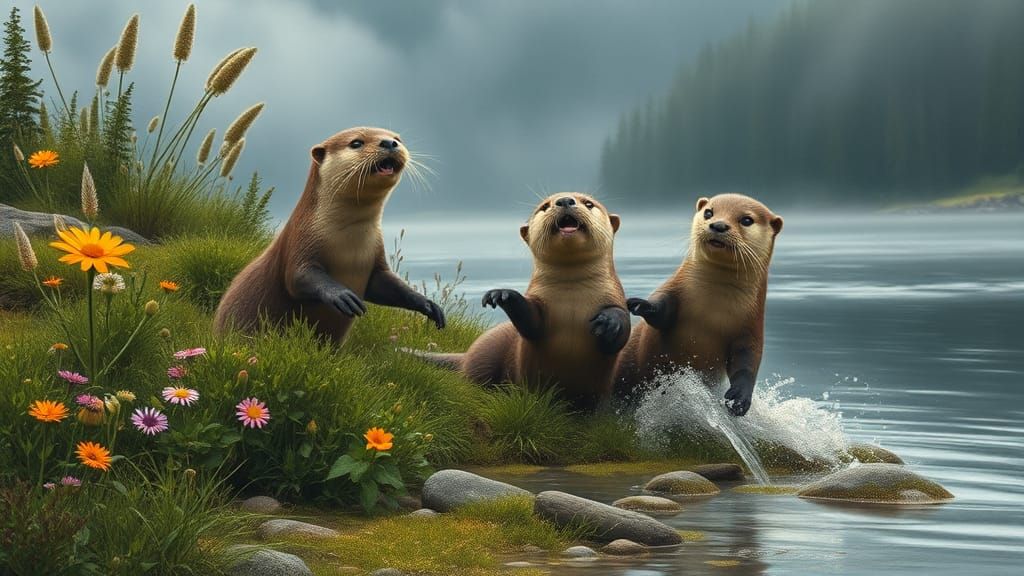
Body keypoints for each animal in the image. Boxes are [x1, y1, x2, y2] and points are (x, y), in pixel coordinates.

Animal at [213, 127, 445, 342]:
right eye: (356, 143)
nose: (389, 143)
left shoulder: (376, 255)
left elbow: (387, 285)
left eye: (397, 139)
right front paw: (341, 295)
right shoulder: (300, 239)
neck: (350, 245)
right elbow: (298, 276)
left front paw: (428, 304)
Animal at [415, 193, 629, 410]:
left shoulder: (616, 300)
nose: (565, 200)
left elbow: (620, 334)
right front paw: (503, 294)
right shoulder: (538, 308)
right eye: (544, 206)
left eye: (588, 203)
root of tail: (467, 353)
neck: (573, 300)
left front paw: (609, 321)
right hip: (483, 358)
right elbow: (531, 322)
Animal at [615, 193, 783, 416]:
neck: (711, 310)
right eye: (709, 212)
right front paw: (641, 304)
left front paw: (740, 399)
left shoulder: (752, 325)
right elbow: (662, 311)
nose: (718, 225)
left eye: (747, 220)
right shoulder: (674, 287)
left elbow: (748, 361)